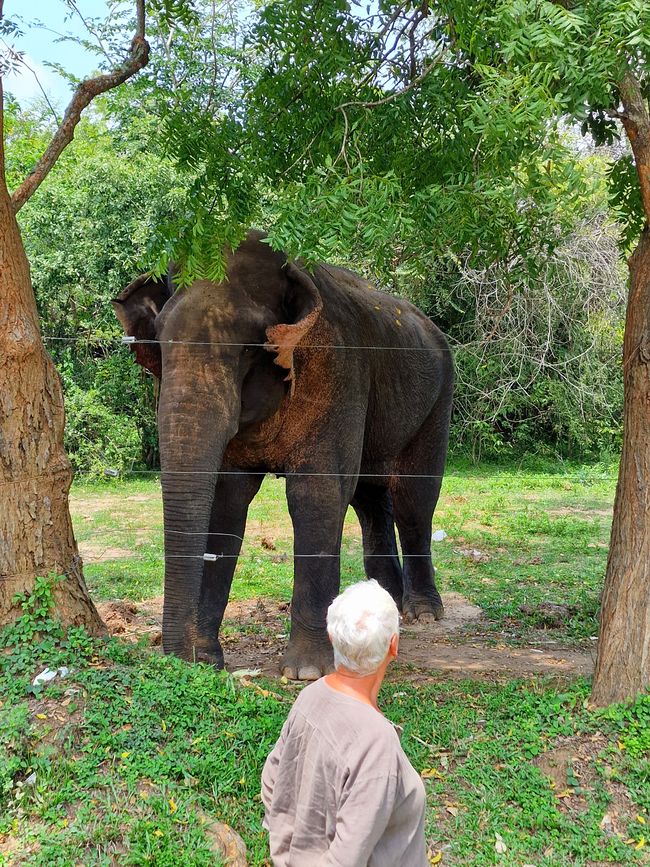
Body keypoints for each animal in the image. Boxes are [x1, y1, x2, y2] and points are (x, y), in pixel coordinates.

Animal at [113, 230, 453, 680]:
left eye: (246, 349)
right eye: (161, 345)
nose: (180, 659)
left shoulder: (335, 371)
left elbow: (315, 496)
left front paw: (306, 672)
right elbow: (225, 502)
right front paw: (209, 658)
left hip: (439, 399)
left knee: (415, 500)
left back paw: (423, 613)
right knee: (369, 498)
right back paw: (384, 608)